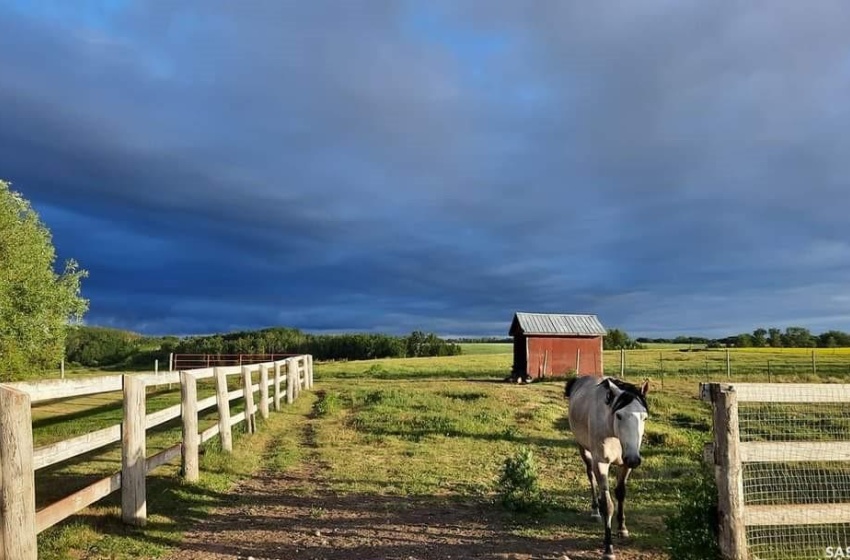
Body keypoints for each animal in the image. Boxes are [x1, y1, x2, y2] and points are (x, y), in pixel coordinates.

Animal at [564, 372, 648, 560]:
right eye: (619, 415)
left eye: (644, 417)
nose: (634, 459)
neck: (614, 433)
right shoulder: (601, 463)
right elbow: (608, 505)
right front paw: (608, 548)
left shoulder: (626, 464)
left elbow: (621, 493)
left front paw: (622, 528)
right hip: (584, 450)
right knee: (591, 476)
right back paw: (595, 511)